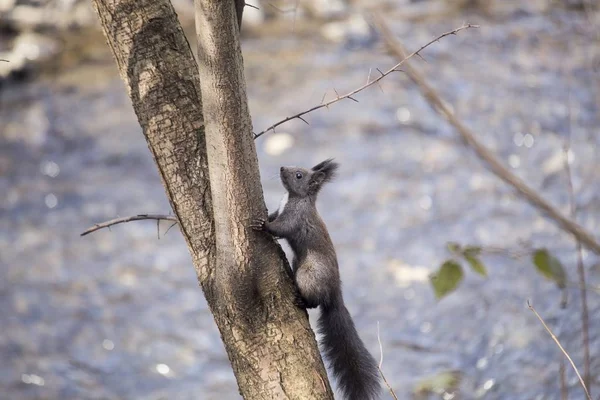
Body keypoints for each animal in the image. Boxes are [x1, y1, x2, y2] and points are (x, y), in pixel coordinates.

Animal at [250, 159, 380, 400]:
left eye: (299, 175)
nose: (282, 168)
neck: (293, 197)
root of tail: (335, 294)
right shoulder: (281, 209)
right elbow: (274, 215)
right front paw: (266, 216)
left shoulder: (295, 217)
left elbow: (280, 227)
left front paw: (263, 225)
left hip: (309, 274)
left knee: (315, 301)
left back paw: (303, 301)